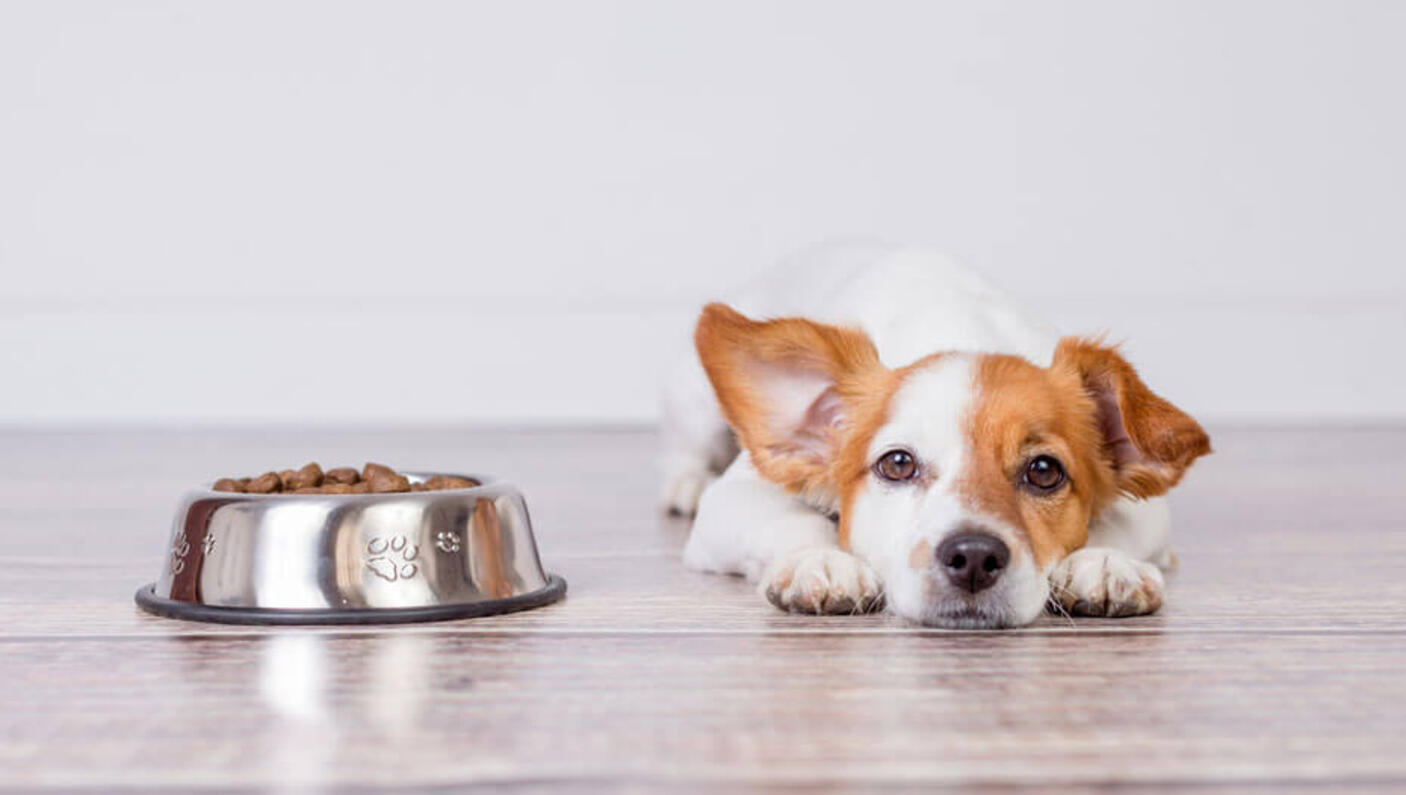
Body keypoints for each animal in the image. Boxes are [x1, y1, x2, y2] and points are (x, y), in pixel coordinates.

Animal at [658, 242, 1209, 627]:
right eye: (897, 464)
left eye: (1044, 471)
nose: (974, 557)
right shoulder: (735, 498)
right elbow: (794, 520)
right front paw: (823, 561)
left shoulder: (1149, 510)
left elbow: (1115, 526)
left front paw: (1103, 563)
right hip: (696, 408)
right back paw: (684, 483)